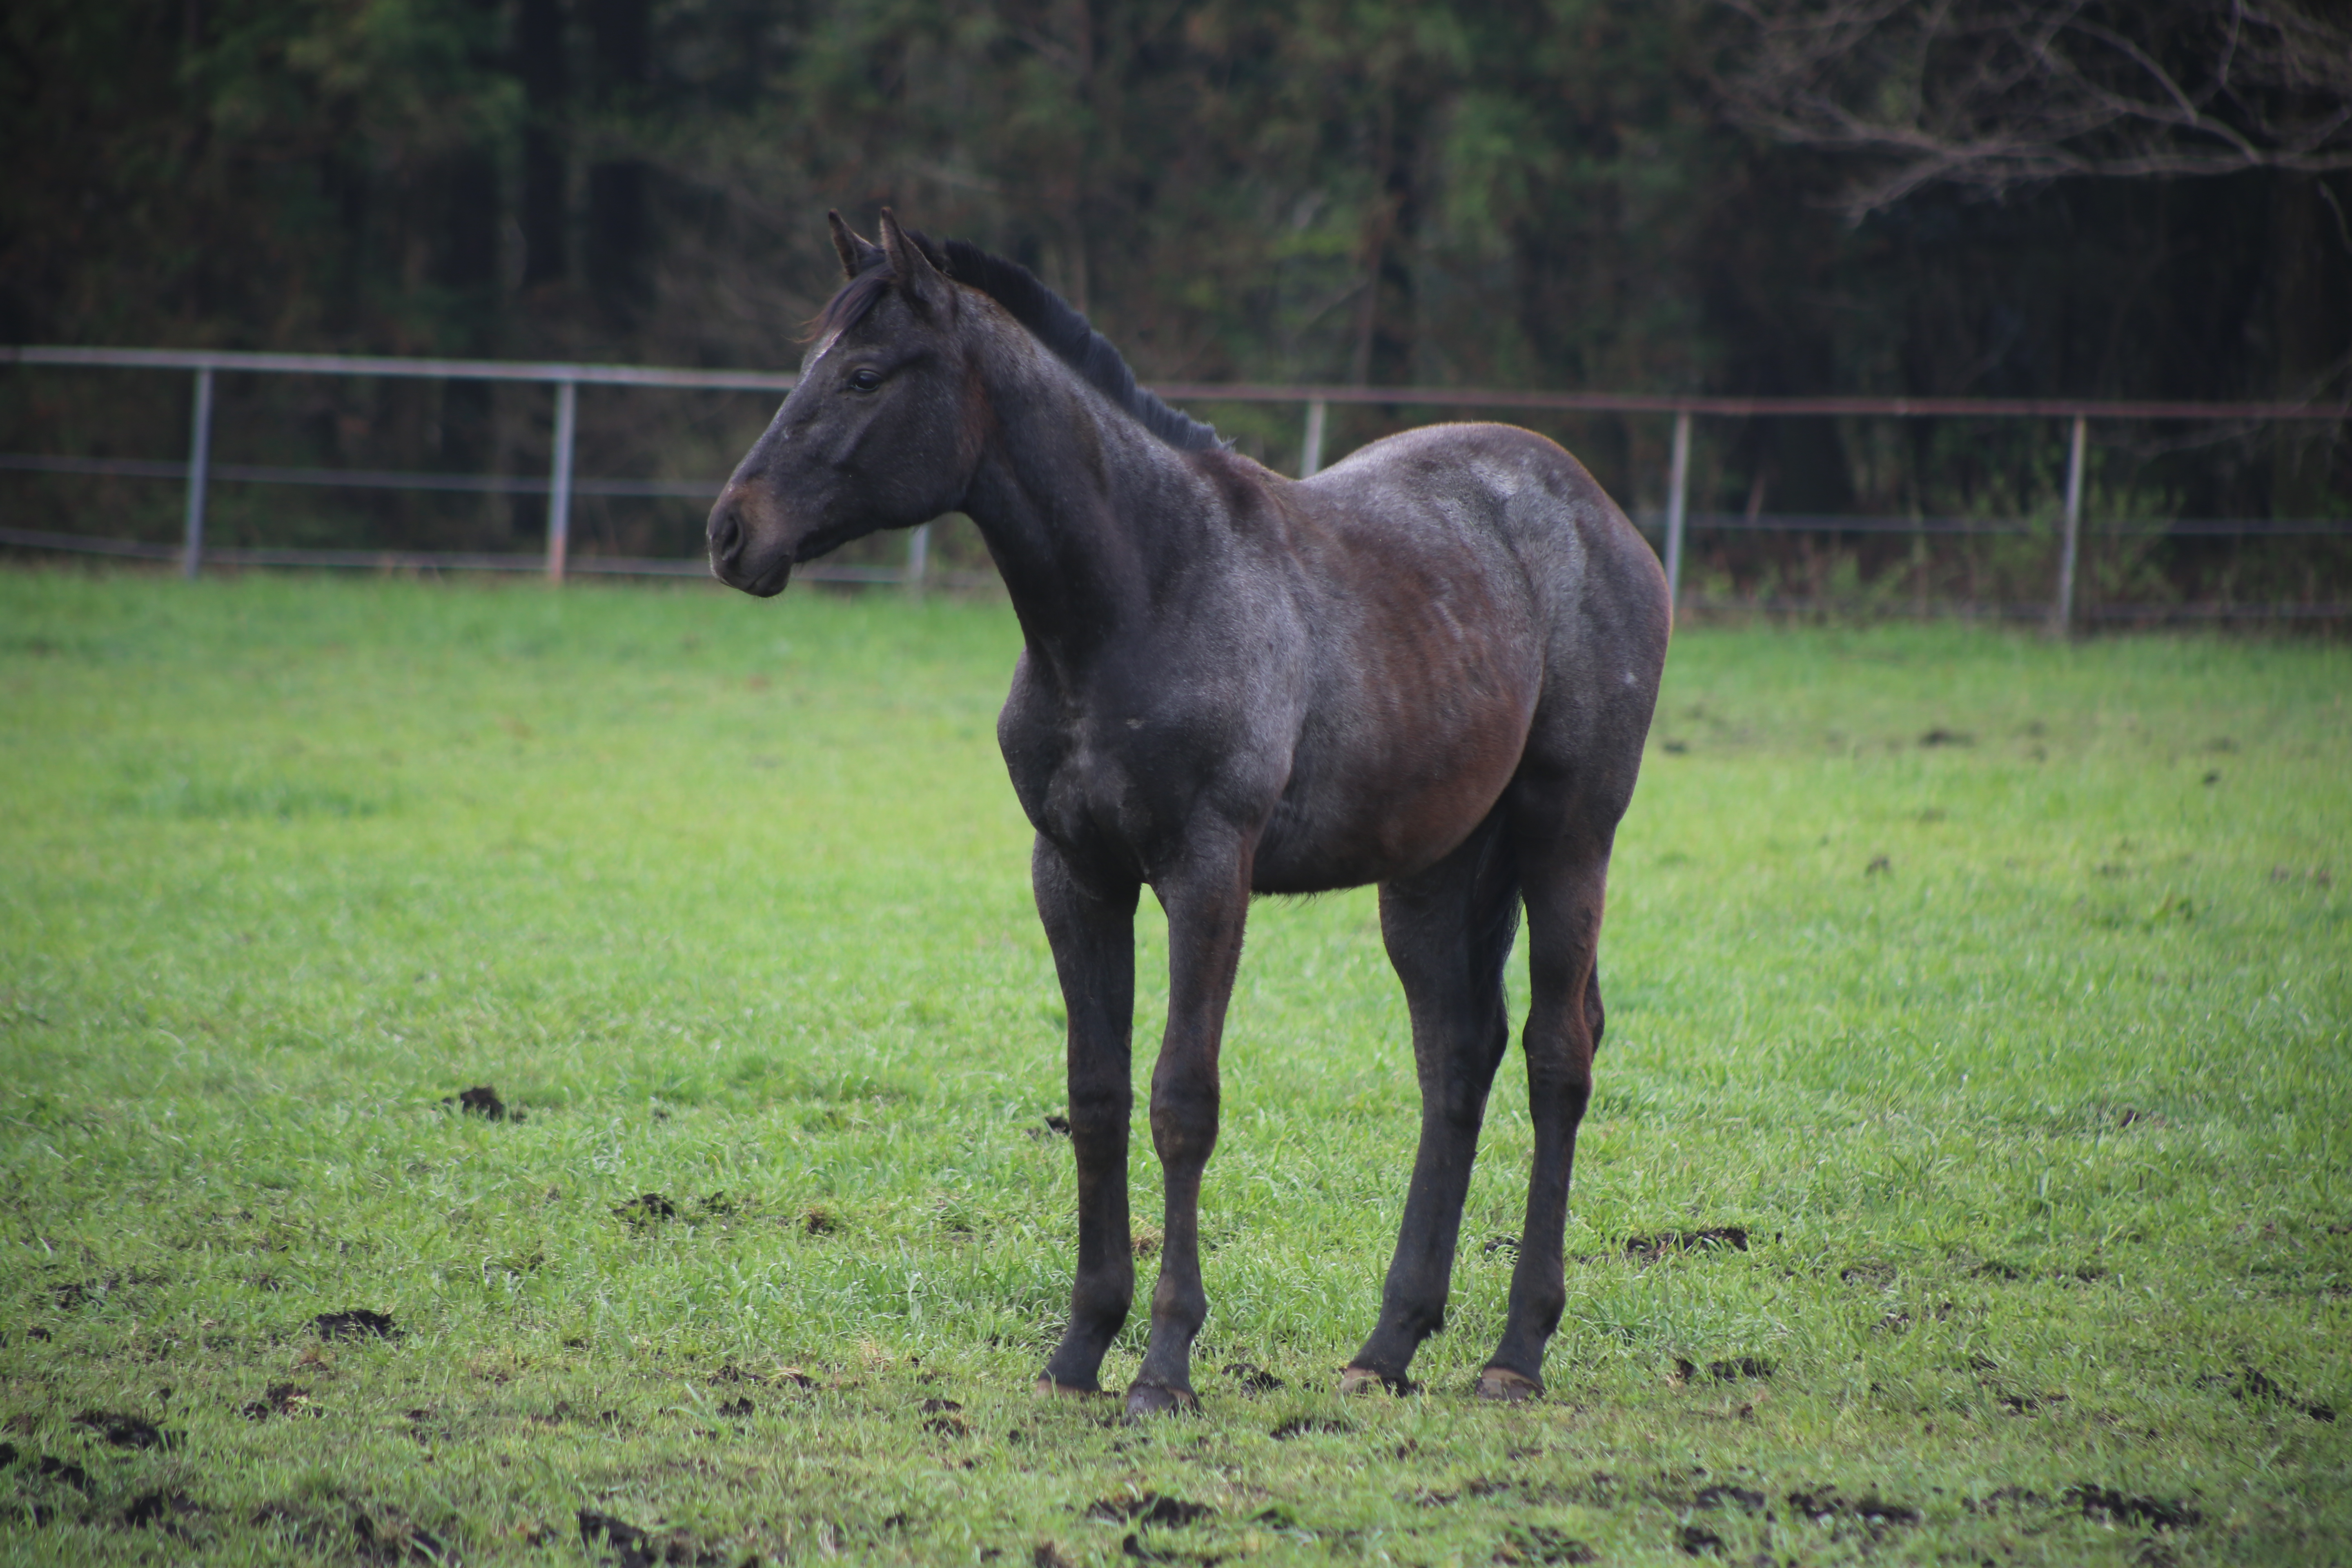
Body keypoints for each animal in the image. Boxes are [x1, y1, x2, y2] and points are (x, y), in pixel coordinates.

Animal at [706, 212, 1665, 1420]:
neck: (1139, 594)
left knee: (1556, 1051)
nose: (731, 533)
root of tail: (1602, 517)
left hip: (1568, 838)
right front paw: (1078, 1349)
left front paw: (1164, 1366)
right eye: (809, 367)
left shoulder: (1209, 874)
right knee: (1456, 1055)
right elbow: (1097, 1095)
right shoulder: (1074, 874)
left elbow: (1180, 1100)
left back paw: (1515, 1351)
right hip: (1431, 873)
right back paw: (1388, 1345)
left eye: (866, 375)